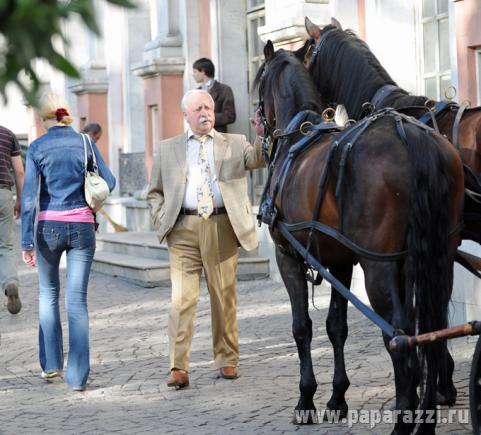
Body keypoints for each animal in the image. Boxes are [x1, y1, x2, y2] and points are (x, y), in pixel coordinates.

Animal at [253, 40, 464, 432]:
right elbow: (336, 326)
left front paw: (306, 398)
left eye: (258, 81)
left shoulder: (287, 255)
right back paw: (426, 412)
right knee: (432, 326)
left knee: (399, 336)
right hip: (434, 259)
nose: (256, 124)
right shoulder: (339, 261)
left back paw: (404, 418)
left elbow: (302, 327)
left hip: (379, 267)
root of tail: (413, 138)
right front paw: (337, 397)